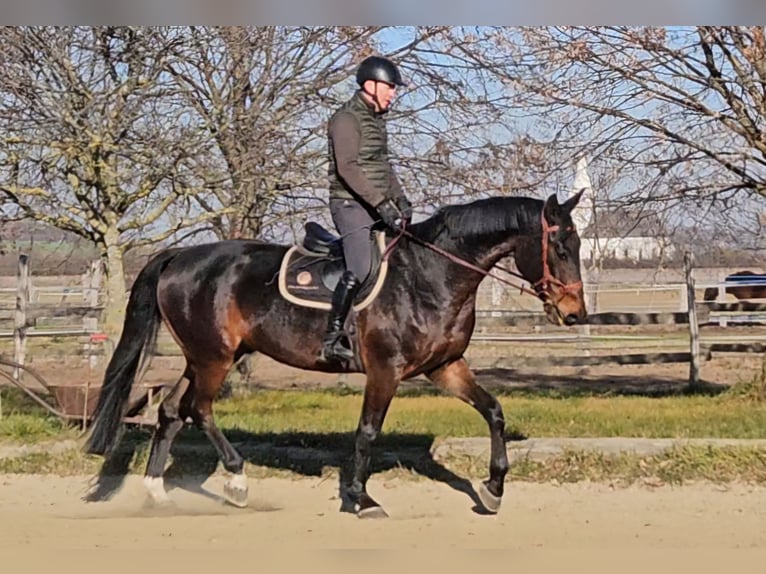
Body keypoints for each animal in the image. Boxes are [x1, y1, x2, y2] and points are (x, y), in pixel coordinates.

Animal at [85, 191, 588, 520]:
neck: (430, 274)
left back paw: (157, 493)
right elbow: (367, 432)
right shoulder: (385, 371)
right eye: (562, 248)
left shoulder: (444, 368)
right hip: (214, 358)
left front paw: (494, 488)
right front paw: (361, 499)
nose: (575, 313)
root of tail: (179, 256)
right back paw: (237, 481)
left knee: (172, 410)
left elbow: (494, 411)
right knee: (200, 408)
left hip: (202, 356)